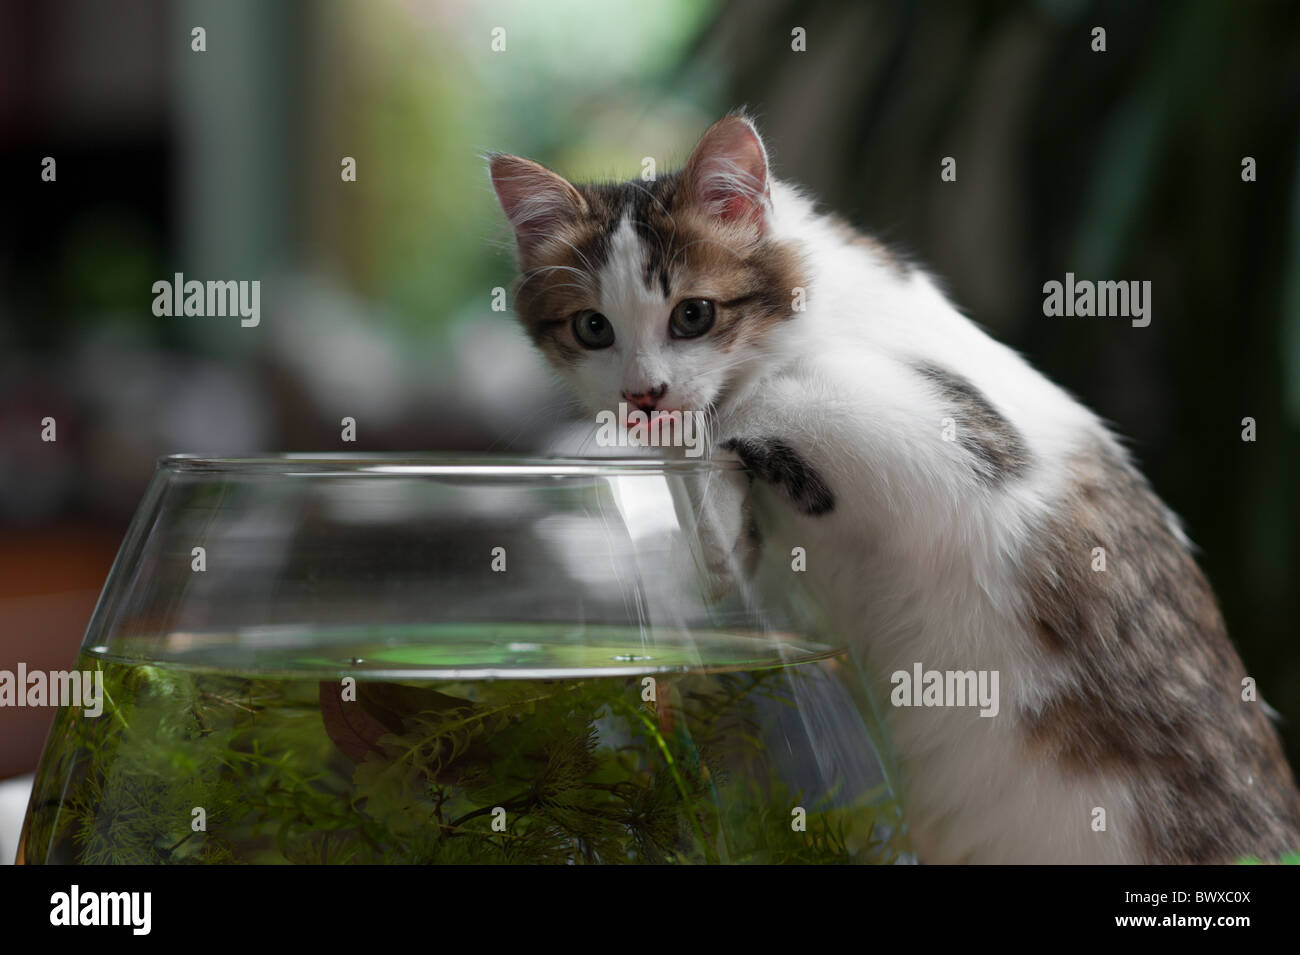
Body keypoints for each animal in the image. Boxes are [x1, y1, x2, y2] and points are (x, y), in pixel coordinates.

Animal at [488, 111, 1300, 867]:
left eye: (693, 314)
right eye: (593, 329)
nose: (644, 396)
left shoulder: (968, 446)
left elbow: (765, 400)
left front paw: (726, 419)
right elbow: (721, 547)